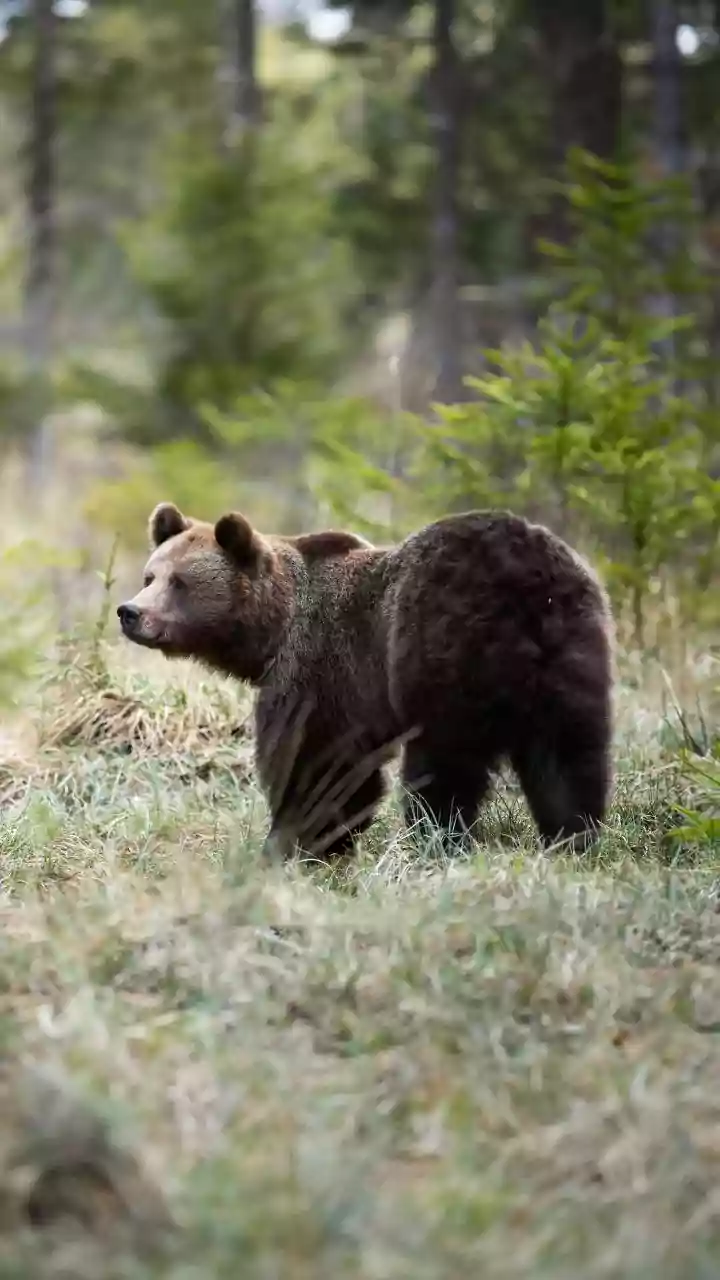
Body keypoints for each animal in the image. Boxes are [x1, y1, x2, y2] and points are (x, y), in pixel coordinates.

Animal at [117, 502, 614, 859]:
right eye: (150, 575)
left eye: (179, 582)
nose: (130, 612)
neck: (271, 630)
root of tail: (527, 584)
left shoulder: (318, 670)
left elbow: (319, 765)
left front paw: (291, 844)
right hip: (572, 654)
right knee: (568, 757)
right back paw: (572, 836)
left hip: (441, 648)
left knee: (444, 765)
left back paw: (438, 839)